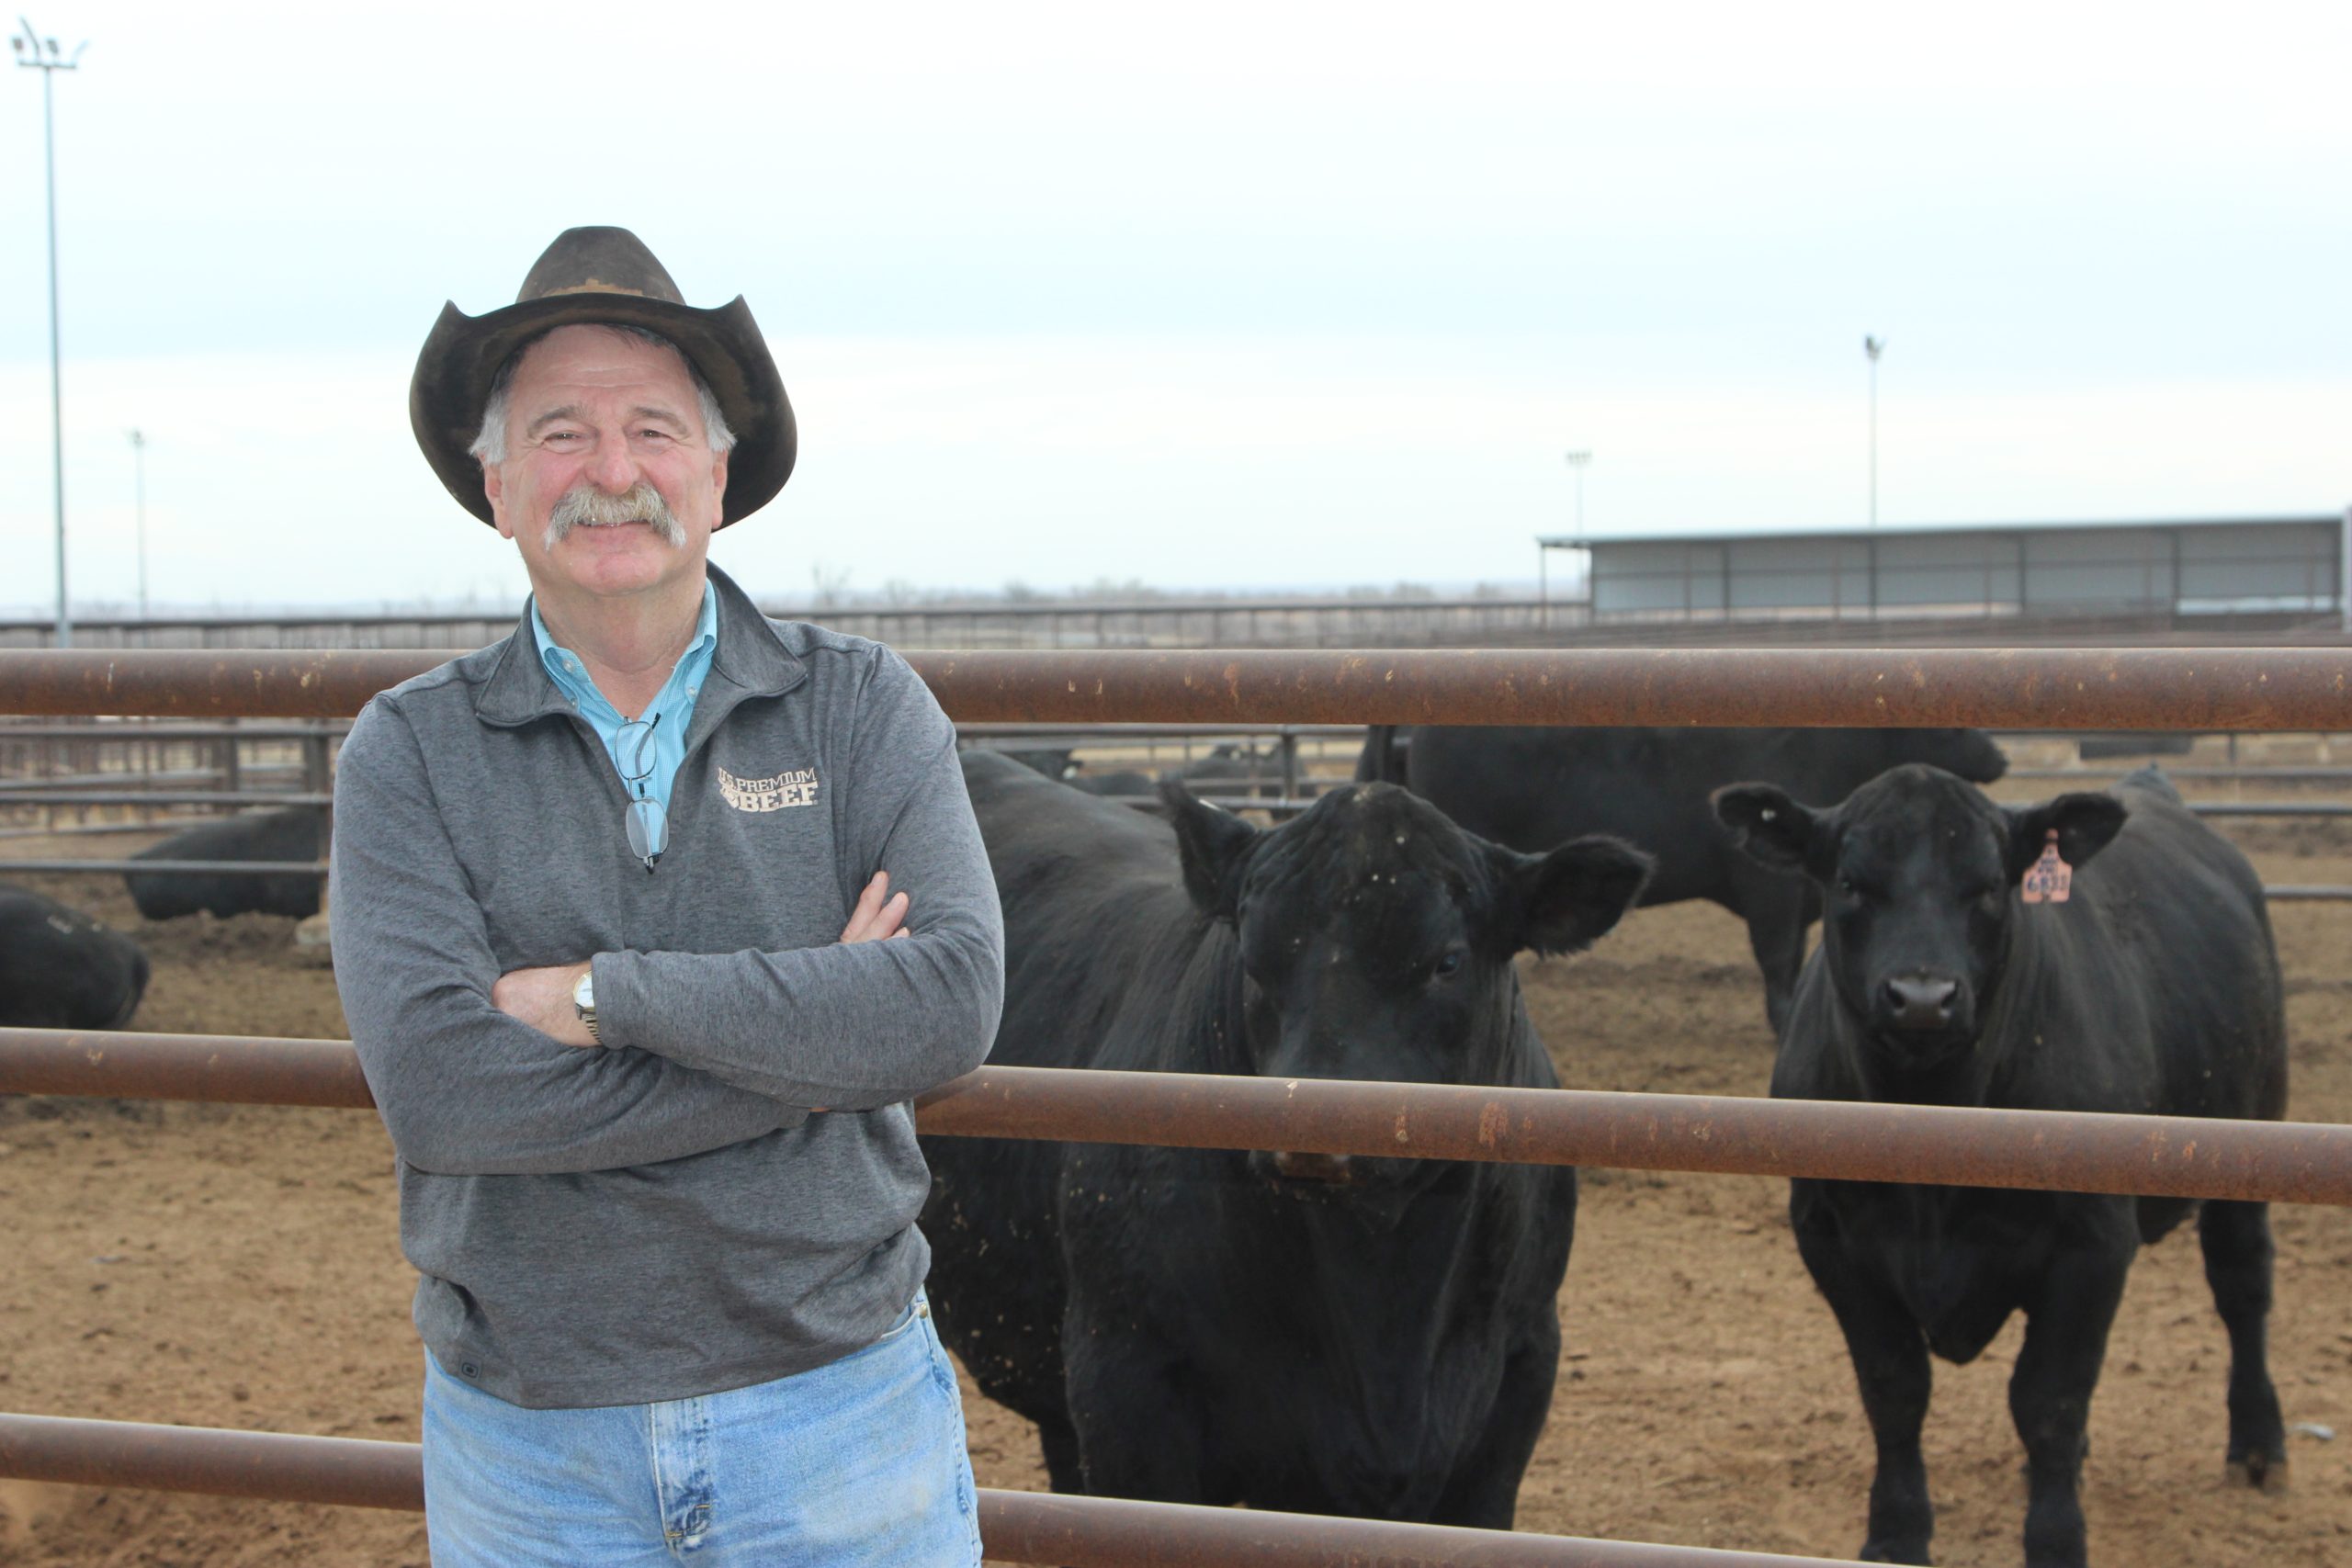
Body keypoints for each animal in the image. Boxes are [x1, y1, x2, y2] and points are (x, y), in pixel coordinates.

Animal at [1712, 771, 2277, 1568]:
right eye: (1850, 882)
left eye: (1987, 887)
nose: (1922, 998)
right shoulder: (1831, 1237)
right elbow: (1893, 1386)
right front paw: (1895, 1532)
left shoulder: (2093, 1241)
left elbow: (2048, 1398)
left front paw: (2056, 1538)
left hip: (2252, 1134)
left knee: (2241, 1282)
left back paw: (2257, 1442)